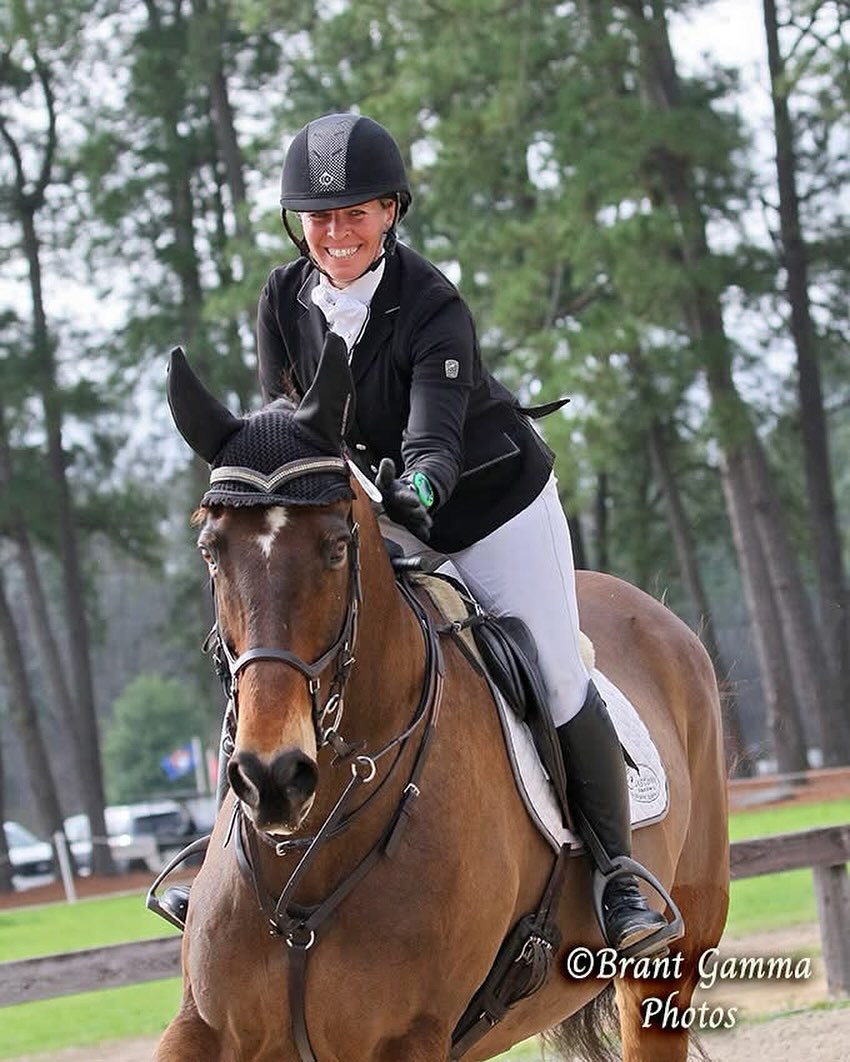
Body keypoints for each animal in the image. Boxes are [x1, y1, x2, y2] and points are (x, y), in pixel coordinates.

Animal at [155, 334, 729, 1062]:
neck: (309, 856)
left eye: (335, 548)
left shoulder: (409, 1038)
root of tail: (662, 620)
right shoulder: (200, 1027)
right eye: (211, 550)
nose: (272, 778)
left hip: (668, 967)